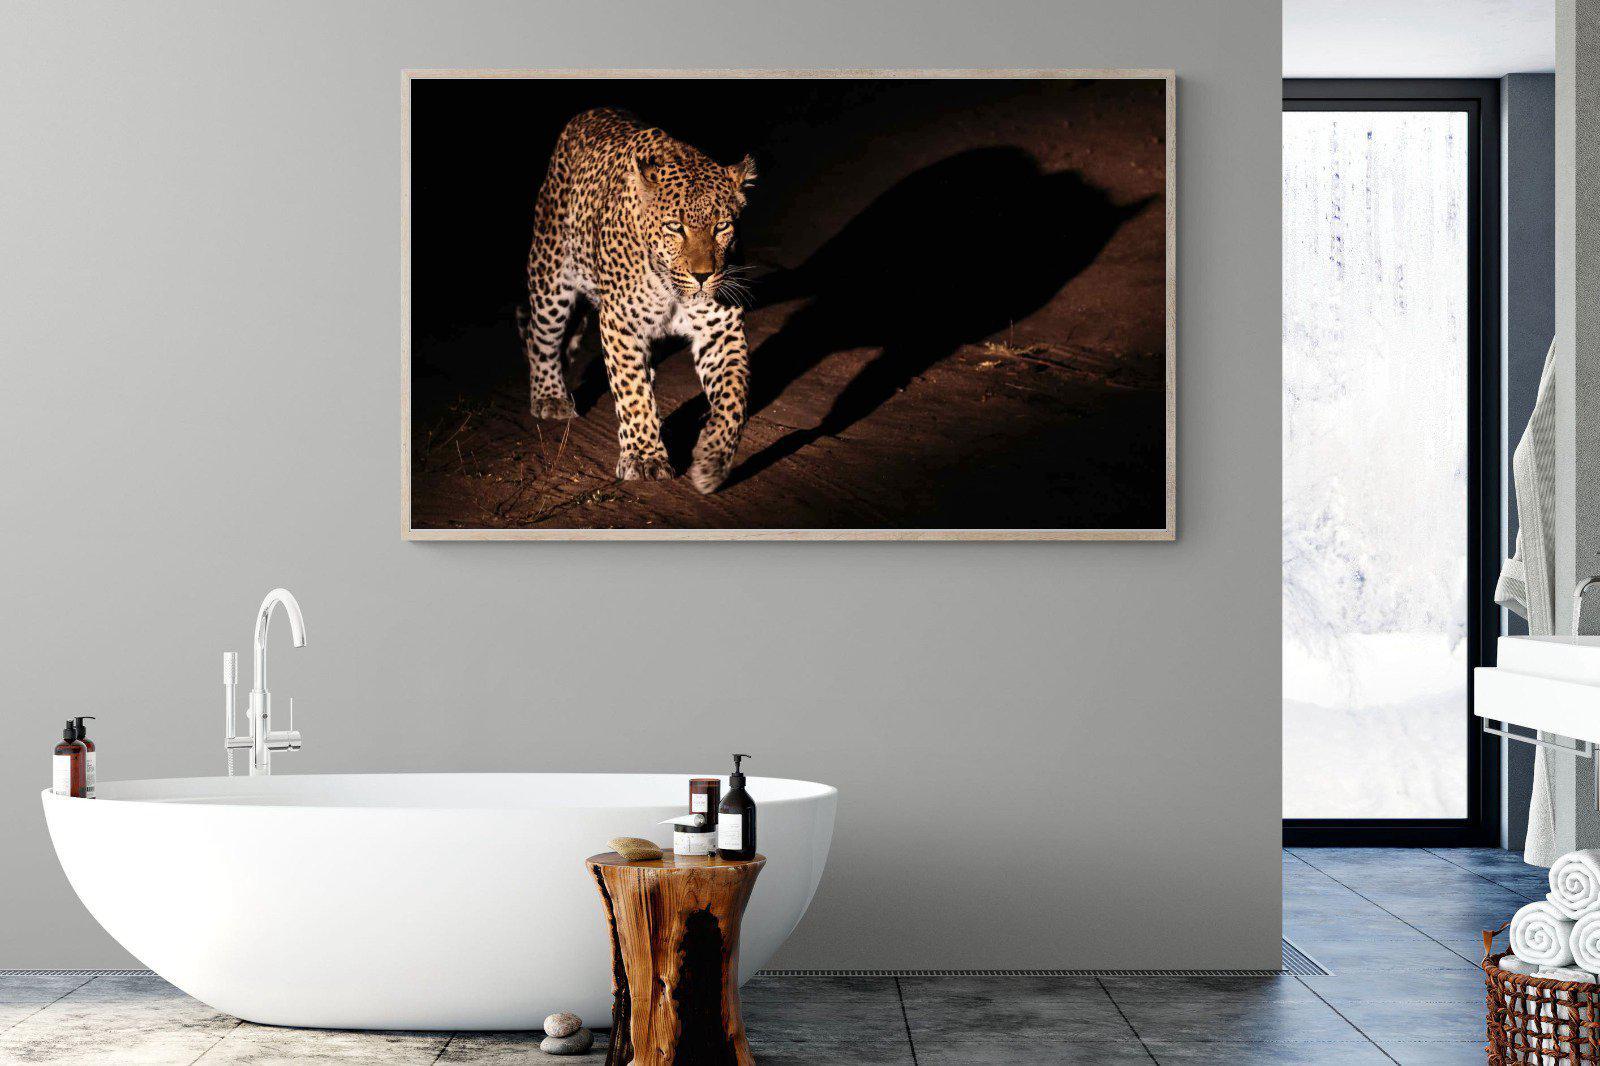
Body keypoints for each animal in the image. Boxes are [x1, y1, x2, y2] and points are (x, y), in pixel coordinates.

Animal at [518, 108, 757, 494]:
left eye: (722, 227)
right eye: (675, 227)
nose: (703, 276)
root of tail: (590, 112)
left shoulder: (721, 330)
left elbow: (734, 398)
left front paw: (712, 460)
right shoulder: (621, 324)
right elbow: (631, 391)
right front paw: (645, 457)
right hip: (550, 275)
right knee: (540, 338)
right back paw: (549, 397)